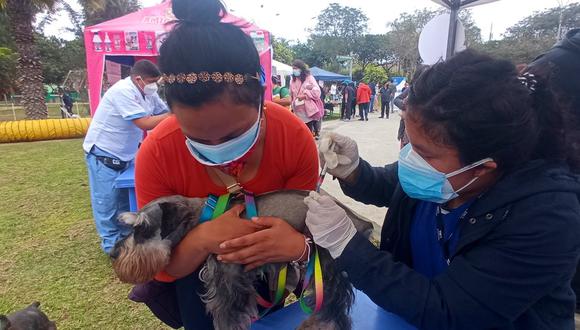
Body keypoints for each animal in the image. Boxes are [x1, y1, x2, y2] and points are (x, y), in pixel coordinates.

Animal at [111, 189, 374, 328]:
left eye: (142, 228)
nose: (114, 253)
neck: (203, 217)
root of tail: (360, 222)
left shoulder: (228, 281)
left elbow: (227, 317)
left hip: (326, 270)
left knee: (334, 309)